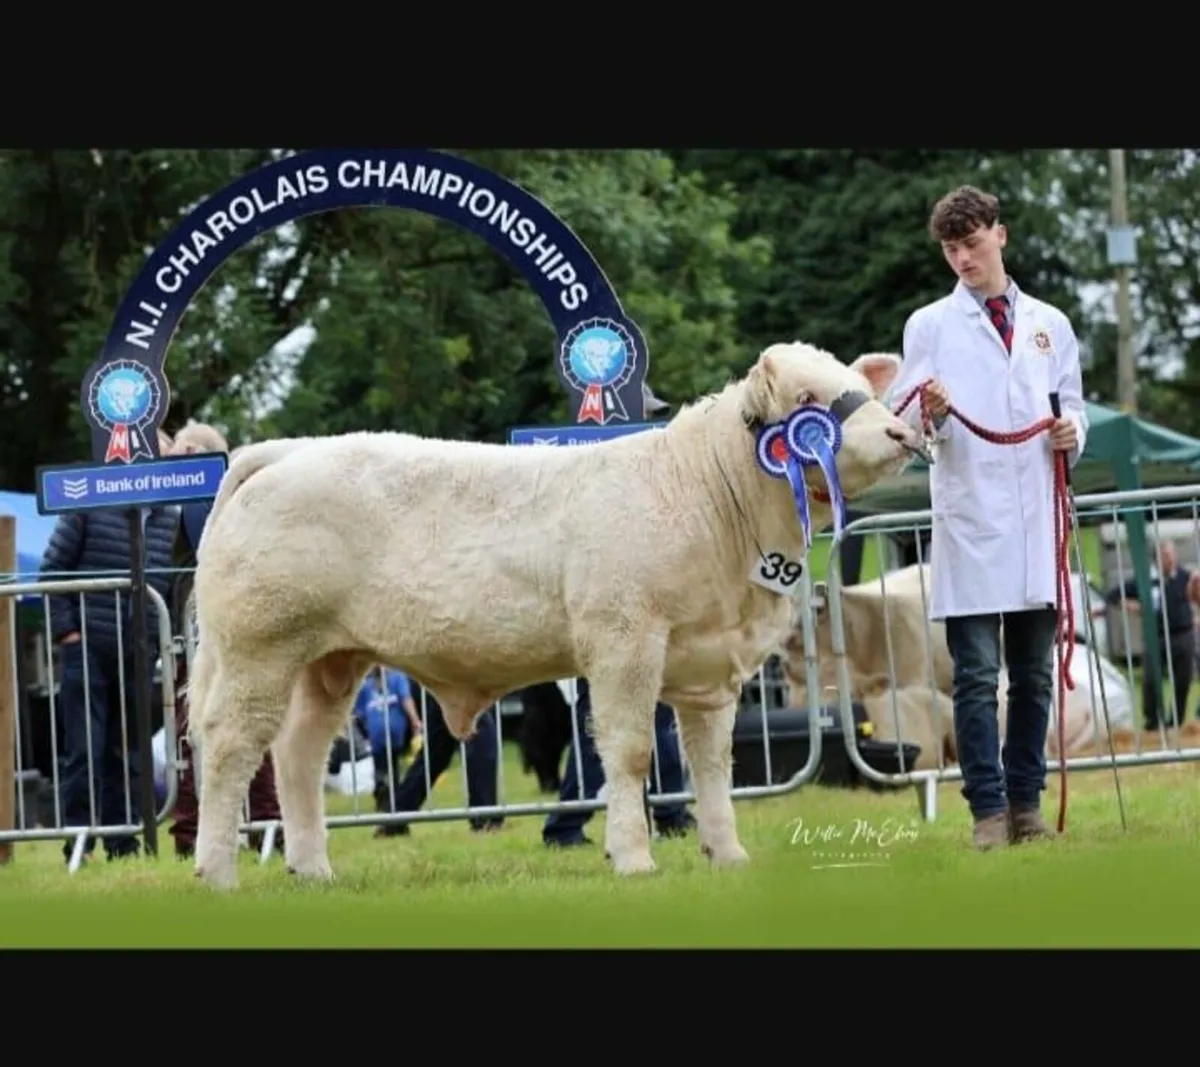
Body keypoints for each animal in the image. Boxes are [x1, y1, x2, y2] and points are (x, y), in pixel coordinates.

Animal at [185, 342, 928, 889]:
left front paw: (727, 853)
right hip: (259, 648)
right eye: (807, 401)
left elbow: (713, 765)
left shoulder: (710, 661)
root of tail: (287, 450)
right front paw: (633, 857)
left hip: (330, 660)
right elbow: (629, 754)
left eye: (859, 387)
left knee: (299, 753)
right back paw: (217, 872)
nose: (900, 430)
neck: (709, 498)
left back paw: (312, 868)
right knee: (229, 747)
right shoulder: (625, 640)